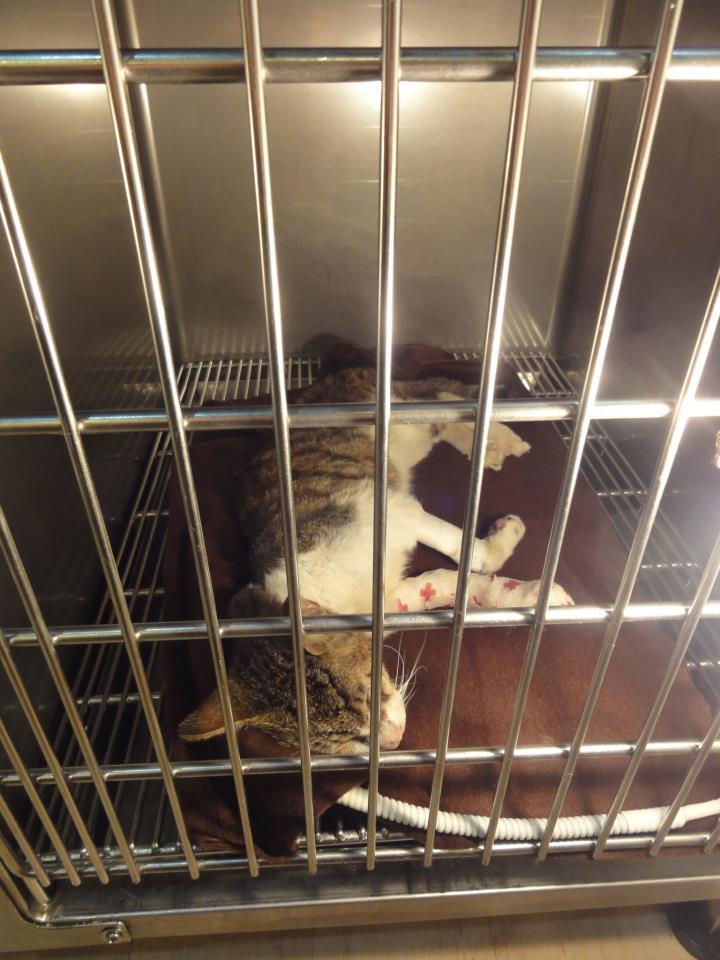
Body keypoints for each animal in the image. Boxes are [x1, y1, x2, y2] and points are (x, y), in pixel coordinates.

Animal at [179, 367, 572, 754]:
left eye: (369, 694)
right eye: (343, 743)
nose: (394, 741)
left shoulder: (389, 508)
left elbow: (468, 553)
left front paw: (511, 558)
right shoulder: (390, 603)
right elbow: (437, 582)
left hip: (396, 421)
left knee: (438, 399)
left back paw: (500, 435)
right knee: (439, 415)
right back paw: (485, 444)